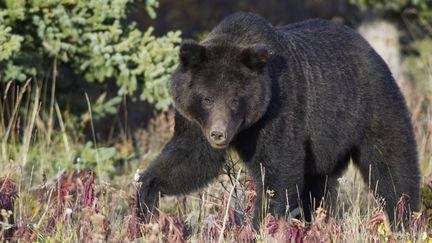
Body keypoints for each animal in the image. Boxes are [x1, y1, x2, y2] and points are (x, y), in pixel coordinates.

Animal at [137, 10, 420, 228]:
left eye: (235, 100)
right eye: (206, 98)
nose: (218, 134)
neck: (246, 128)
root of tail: (369, 47)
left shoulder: (278, 110)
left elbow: (278, 172)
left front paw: (262, 223)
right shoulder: (193, 120)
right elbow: (190, 160)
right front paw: (145, 198)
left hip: (371, 106)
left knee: (392, 165)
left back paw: (405, 220)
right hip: (325, 146)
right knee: (320, 188)